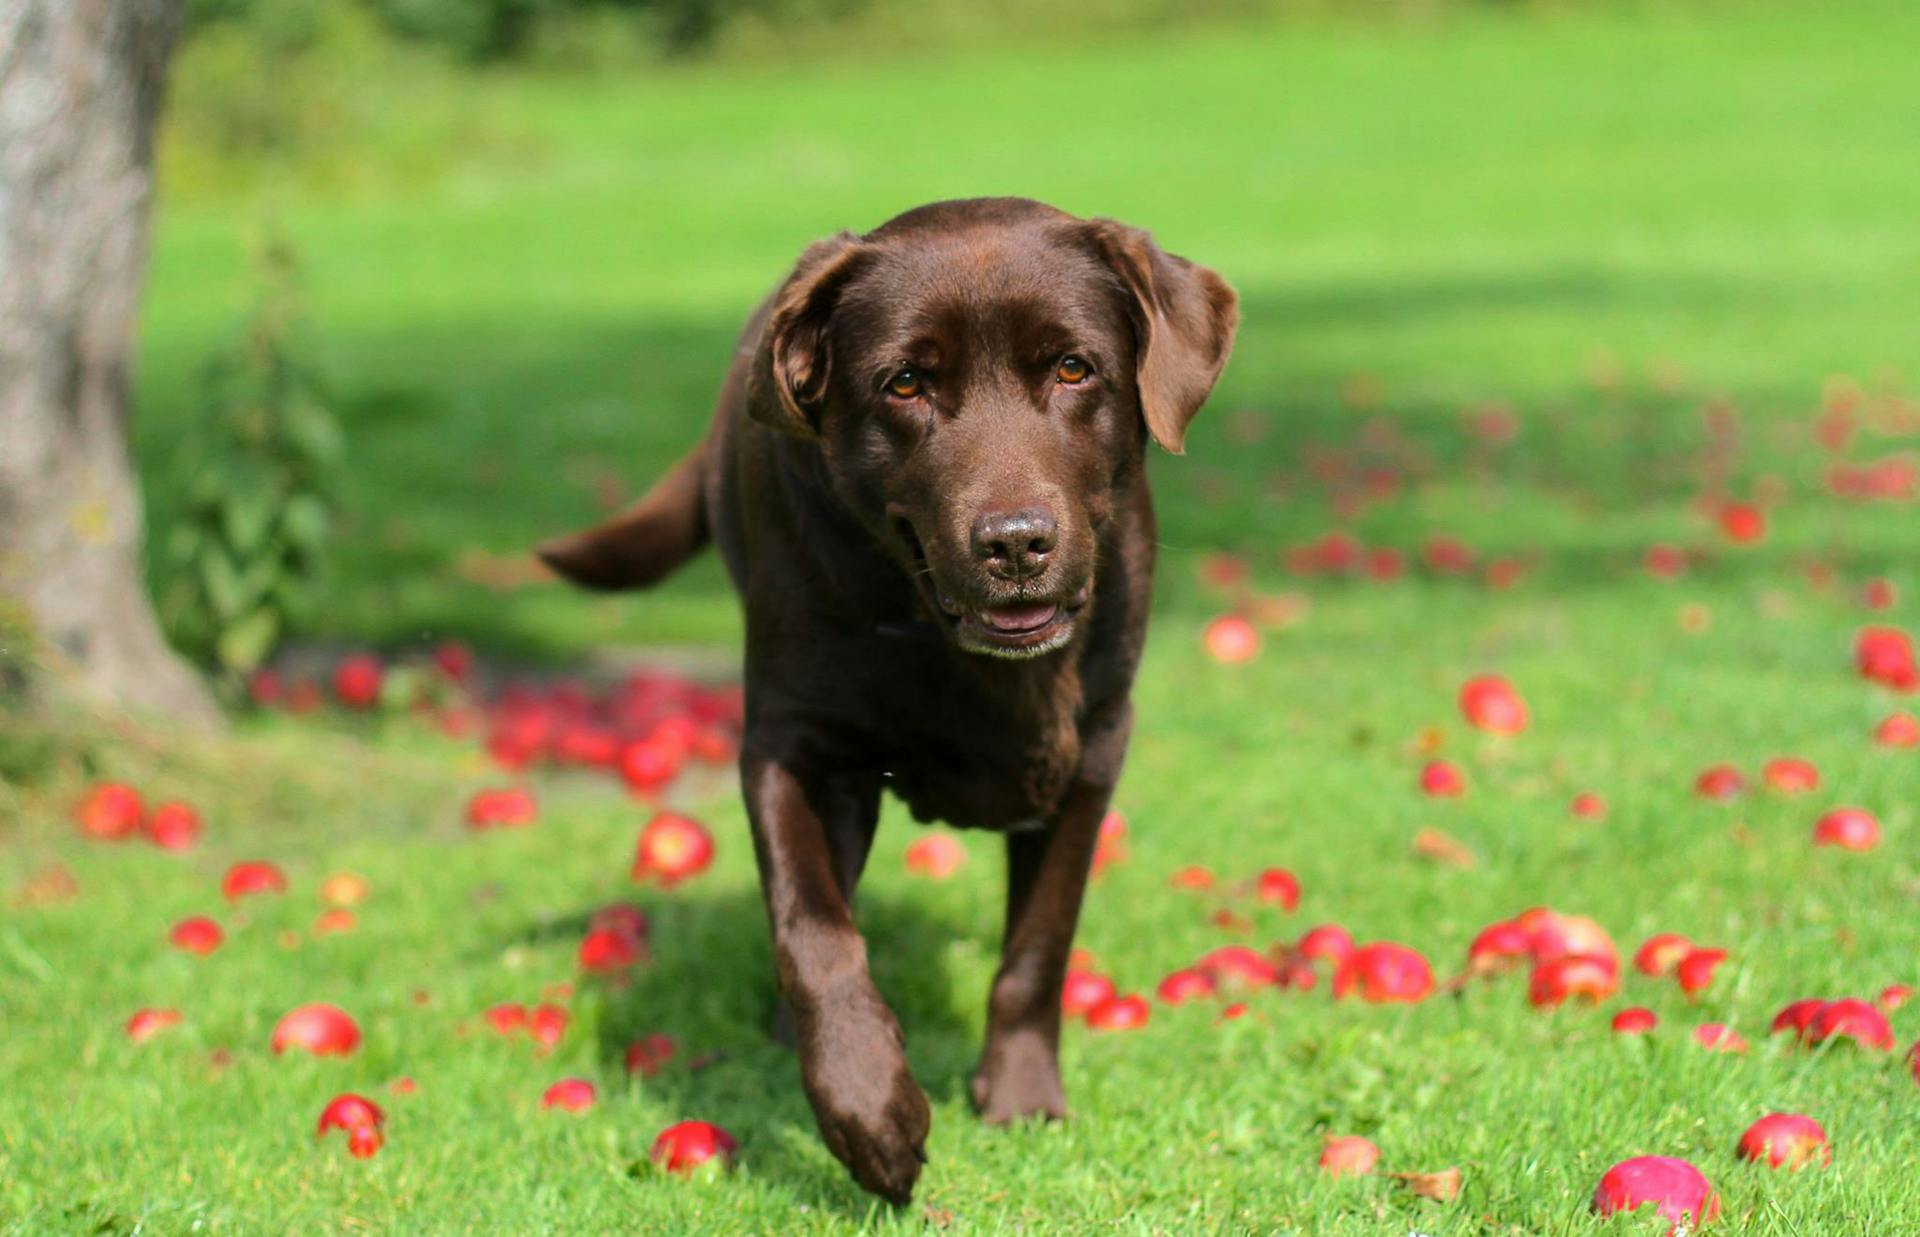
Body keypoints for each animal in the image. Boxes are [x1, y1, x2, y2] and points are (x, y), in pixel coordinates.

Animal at [533, 197, 1236, 1206]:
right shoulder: (793, 748)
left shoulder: (1095, 749)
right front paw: (871, 1112)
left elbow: (1040, 943)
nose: (1014, 542)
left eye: (1074, 368)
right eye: (904, 384)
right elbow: (815, 931)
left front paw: (1021, 1097)